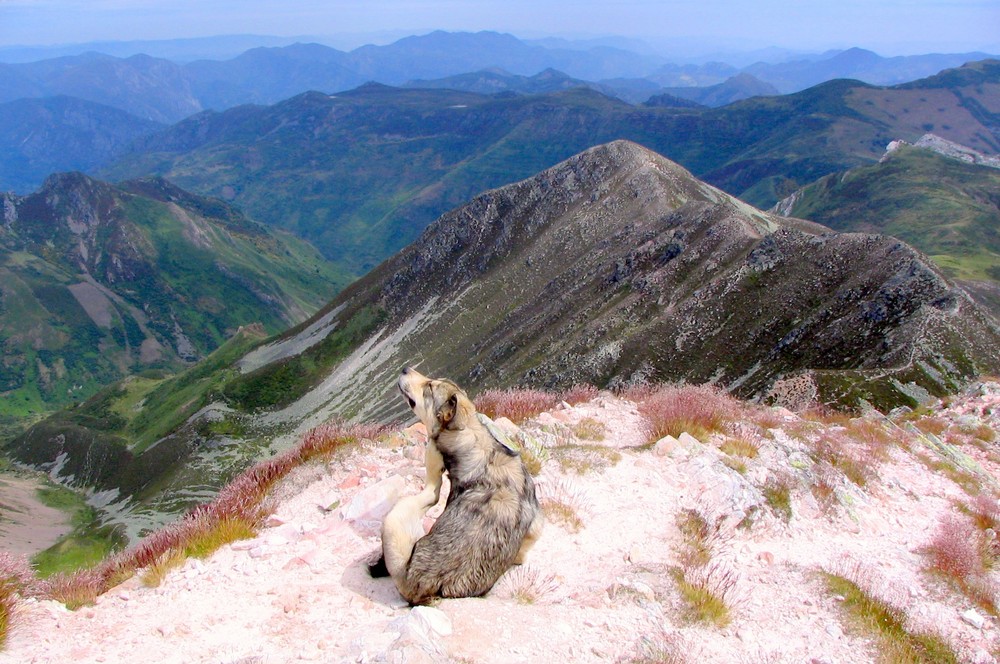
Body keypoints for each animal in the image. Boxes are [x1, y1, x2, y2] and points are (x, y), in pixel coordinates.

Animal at [370, 368, 544, 608]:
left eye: (429, 387)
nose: (405, 369)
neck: (473, 437)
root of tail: (425, 583)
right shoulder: (535, 523)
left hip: (394, 522)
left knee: (430, 493)